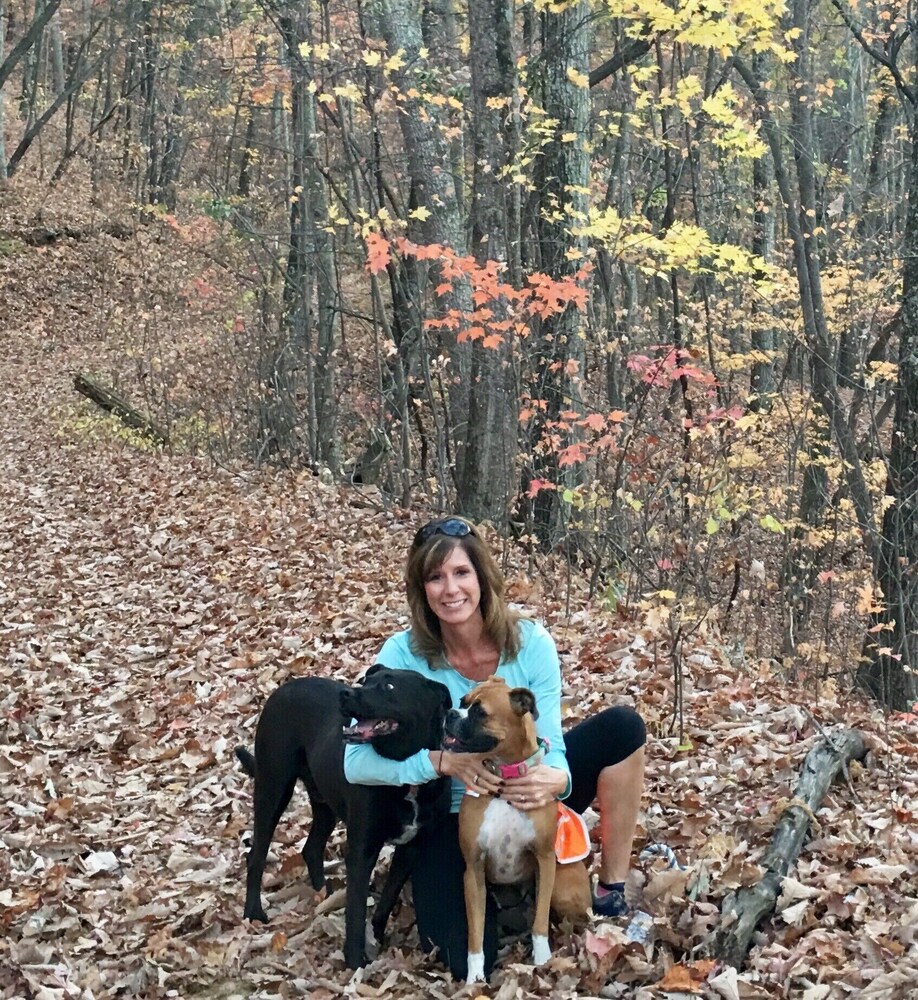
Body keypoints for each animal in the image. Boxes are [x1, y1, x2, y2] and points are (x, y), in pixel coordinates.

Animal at [235, 664, 452, 968]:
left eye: (389, 687)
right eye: (365, 680)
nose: (346, 694)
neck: (405, 776)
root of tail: (283, 688)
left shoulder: (411, 848)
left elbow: (387, 897)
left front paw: (376, 935)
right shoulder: (362, 851)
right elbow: (355, 909)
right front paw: (355, 962)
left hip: (324, 803)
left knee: (311, 847)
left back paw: (323, 894)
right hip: (273, 787)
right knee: (256, 853)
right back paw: (254, 912)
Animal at [444, 676, 588, 980]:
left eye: (479, 712)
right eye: (462, 702)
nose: (450, 713)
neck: (504, 779)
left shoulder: (545, 860)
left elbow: (540, 921)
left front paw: (543, 959)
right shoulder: (473, 871)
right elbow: (475, 935)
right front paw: (475, 978)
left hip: (565, 891)